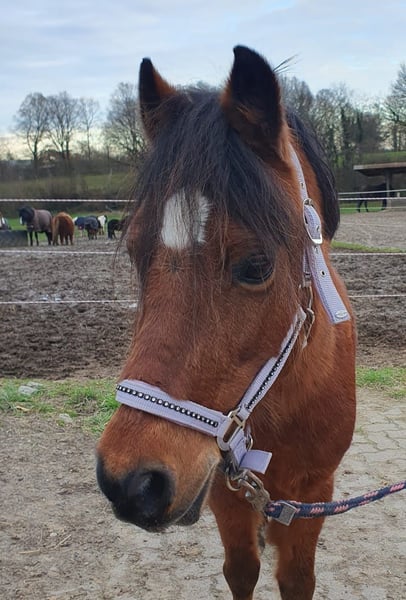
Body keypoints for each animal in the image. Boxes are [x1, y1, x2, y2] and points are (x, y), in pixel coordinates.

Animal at [96, 46, 356, 600]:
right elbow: (242, 570)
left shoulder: (312, 497)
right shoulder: (223, 492)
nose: (130, 483)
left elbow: (296, 578)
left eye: (256, 266)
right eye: (135, 253)